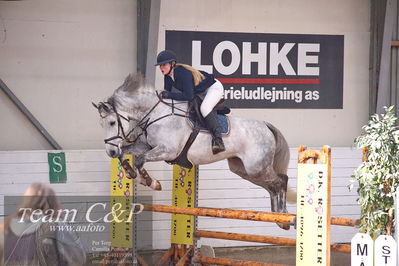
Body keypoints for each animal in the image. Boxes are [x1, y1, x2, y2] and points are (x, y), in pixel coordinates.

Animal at [95, 72, 292, 229]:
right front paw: (133, 174)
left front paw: (151, 182)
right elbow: (128, 154)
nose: (110, 152)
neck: (156, 114)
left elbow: (140, 160)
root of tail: (266, 126)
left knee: (281, 180)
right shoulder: (147, 146)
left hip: (256, 167)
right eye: (101, 124)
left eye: (112, 122)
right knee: (272, 186)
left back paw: (284, 216)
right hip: (243, 170)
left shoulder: (167, 150)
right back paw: (278, 217)